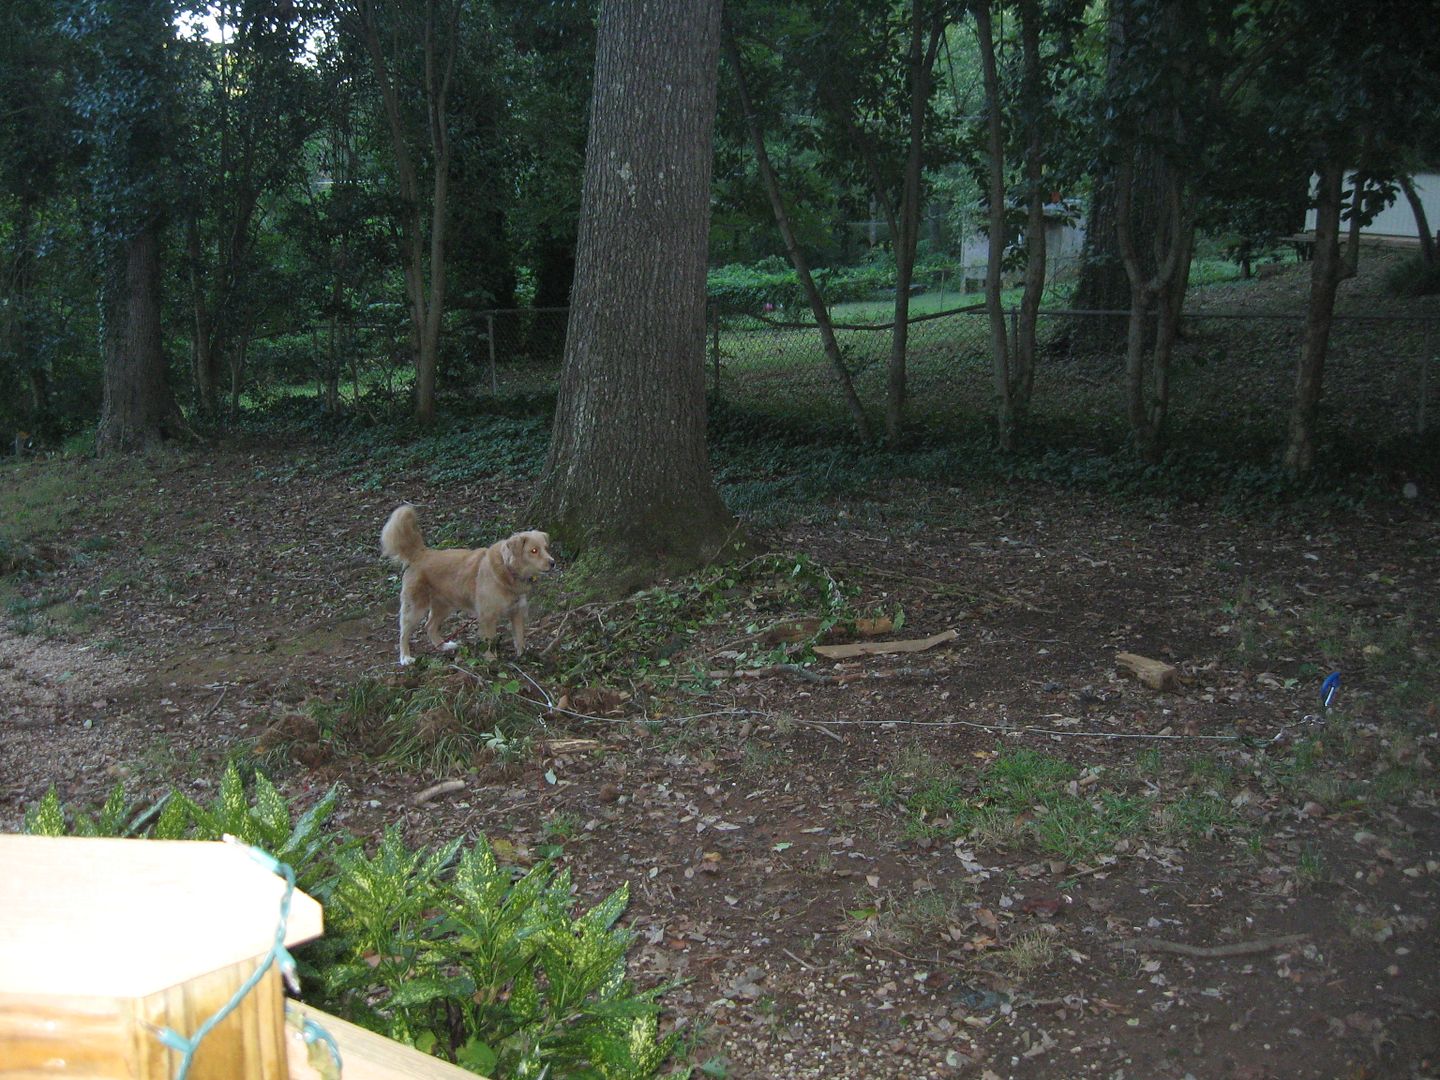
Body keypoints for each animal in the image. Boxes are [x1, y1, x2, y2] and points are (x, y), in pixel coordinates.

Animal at [380, 506, 552, 668]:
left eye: (546, 548)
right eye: (534, 550)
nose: (553, 562)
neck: (508, 570)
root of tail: (421, 553)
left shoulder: (516, 612)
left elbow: (520, 638)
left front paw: (523, 656)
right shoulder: (487, 616)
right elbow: (489, 641)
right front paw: (491, 661)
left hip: (444, 606)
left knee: (430, 626)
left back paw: (443, 646)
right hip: (415, 608)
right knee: (404, 633)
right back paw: (405, 657)